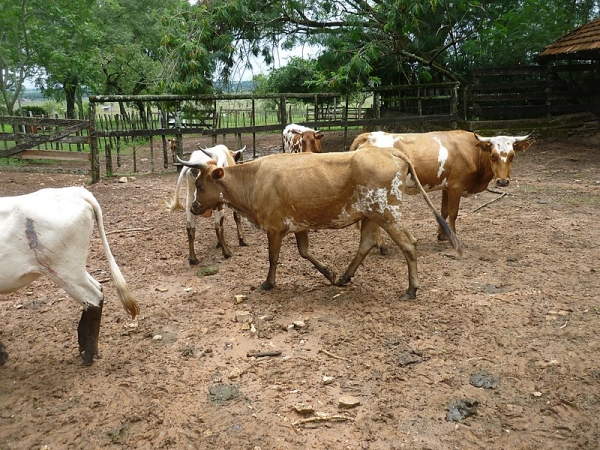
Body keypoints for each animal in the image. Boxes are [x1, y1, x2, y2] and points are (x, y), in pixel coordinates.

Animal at [0, 186, 139, 366]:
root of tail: (75, 192)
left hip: (64, 270)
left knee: (93, 297)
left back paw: (88, 354)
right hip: (74, 270)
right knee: (97, 288)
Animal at [176, 144, 462, 298]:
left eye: (200, 184)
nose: (194, 206)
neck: (254, 179)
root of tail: (390, 152)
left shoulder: (274, 228)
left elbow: (273, 258)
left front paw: (268, 283)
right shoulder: (298, 225)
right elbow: (305, 252)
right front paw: (329, 273)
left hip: (387, 212)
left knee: (409, 244)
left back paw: (411, 289)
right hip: (370, 214)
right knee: (366, 243)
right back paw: (345, 277)